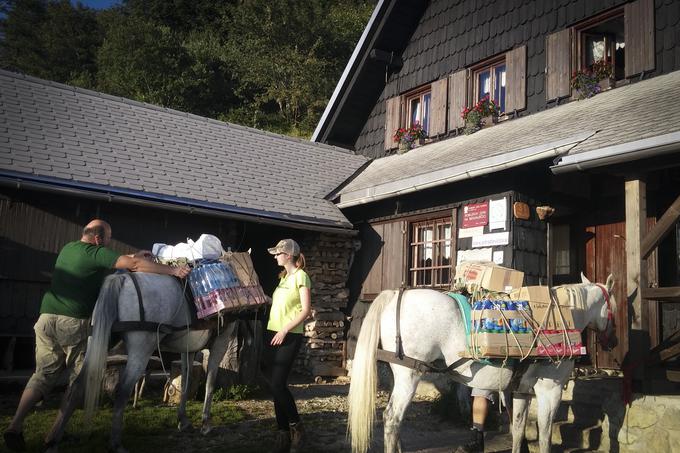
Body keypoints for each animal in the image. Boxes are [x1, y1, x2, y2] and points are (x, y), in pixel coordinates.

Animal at [43, 272, 255, 452]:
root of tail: (121, 278)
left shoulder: (189, 349)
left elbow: (186, 382)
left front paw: (183, 421)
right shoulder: (220, 342)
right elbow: (210, 382)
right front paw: (205, 423)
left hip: (96, 342)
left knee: (77, 384)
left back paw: (53, 440)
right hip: (141, 349)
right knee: (122, 390)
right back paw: (115, 443)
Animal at [348, 272, 620, 452]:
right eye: (614, 308)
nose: (614, 341)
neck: (562, 314)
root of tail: (397, 294)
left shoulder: (521, 390)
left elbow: (518, 428)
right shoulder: (549, 390)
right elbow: (544, 434)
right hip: (410, 375)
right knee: (392, 418)